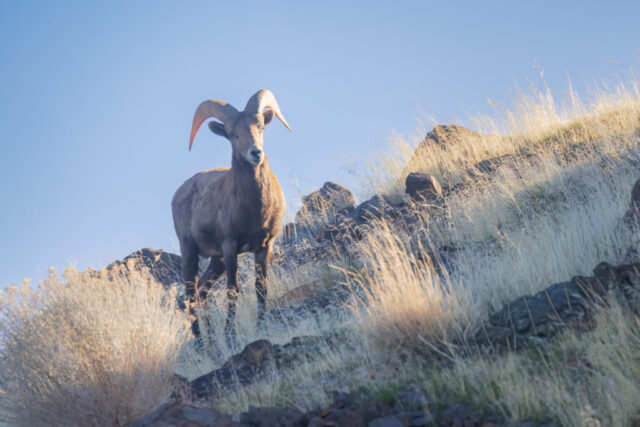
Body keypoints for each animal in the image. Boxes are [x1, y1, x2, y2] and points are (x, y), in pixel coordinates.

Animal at [171, 89, 291, 343]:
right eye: (233, 135)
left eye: (260, 127)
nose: (256, 153)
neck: (255, 209)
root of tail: (177, 195)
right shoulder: (230, 248)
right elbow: (233, 291)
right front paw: (231, 336)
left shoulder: (264, 246)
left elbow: (260, 287)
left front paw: (261, 327)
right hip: (190, 252)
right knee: (190, 294)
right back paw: (201, 344)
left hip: (217, 261)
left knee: (202, 290)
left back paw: (213, 343)